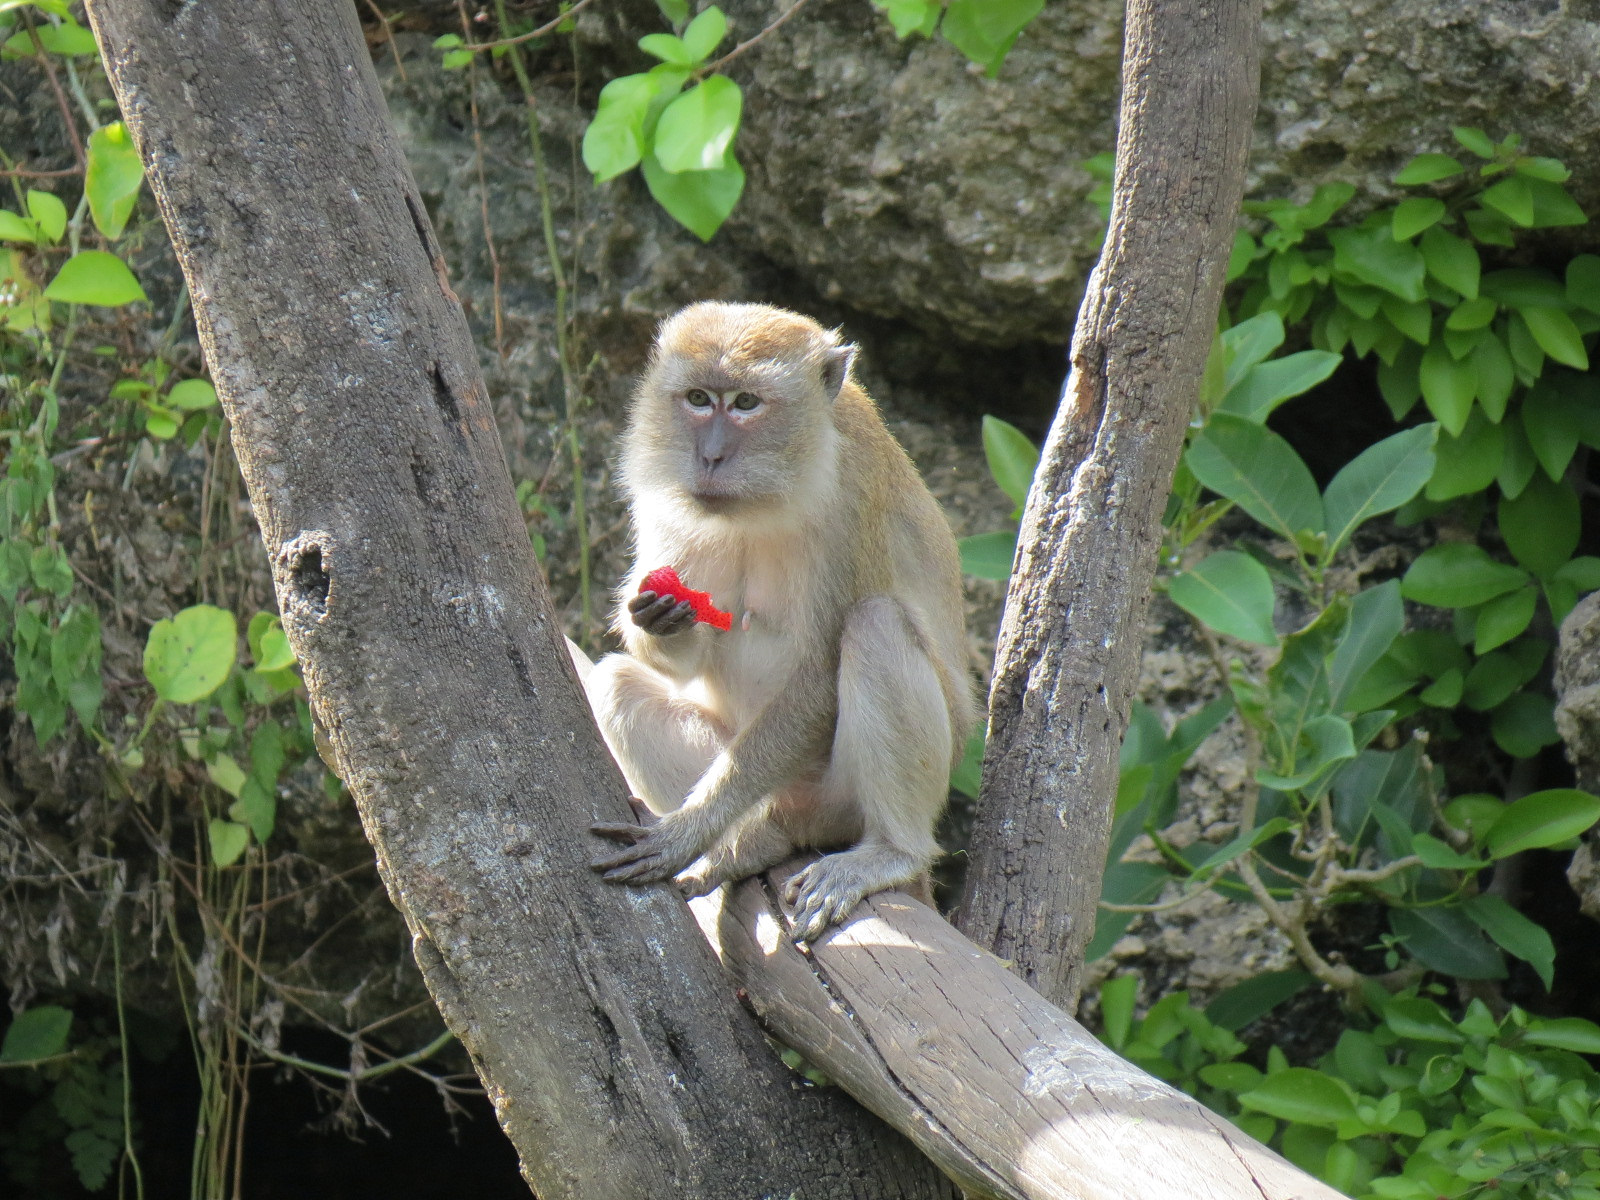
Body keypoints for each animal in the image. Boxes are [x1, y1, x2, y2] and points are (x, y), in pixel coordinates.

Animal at [581, 300, 976, 942]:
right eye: (698, 398)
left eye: (746, 403)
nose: (710, 455)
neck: (764, 499)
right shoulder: (664, 494)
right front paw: (662, 619)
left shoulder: (850, 500)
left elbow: (817, 674)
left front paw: (688, 830)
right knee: (614, 683)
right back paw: (754, 842)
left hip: (835, 802)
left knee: (876, 625)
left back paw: (890, 852)